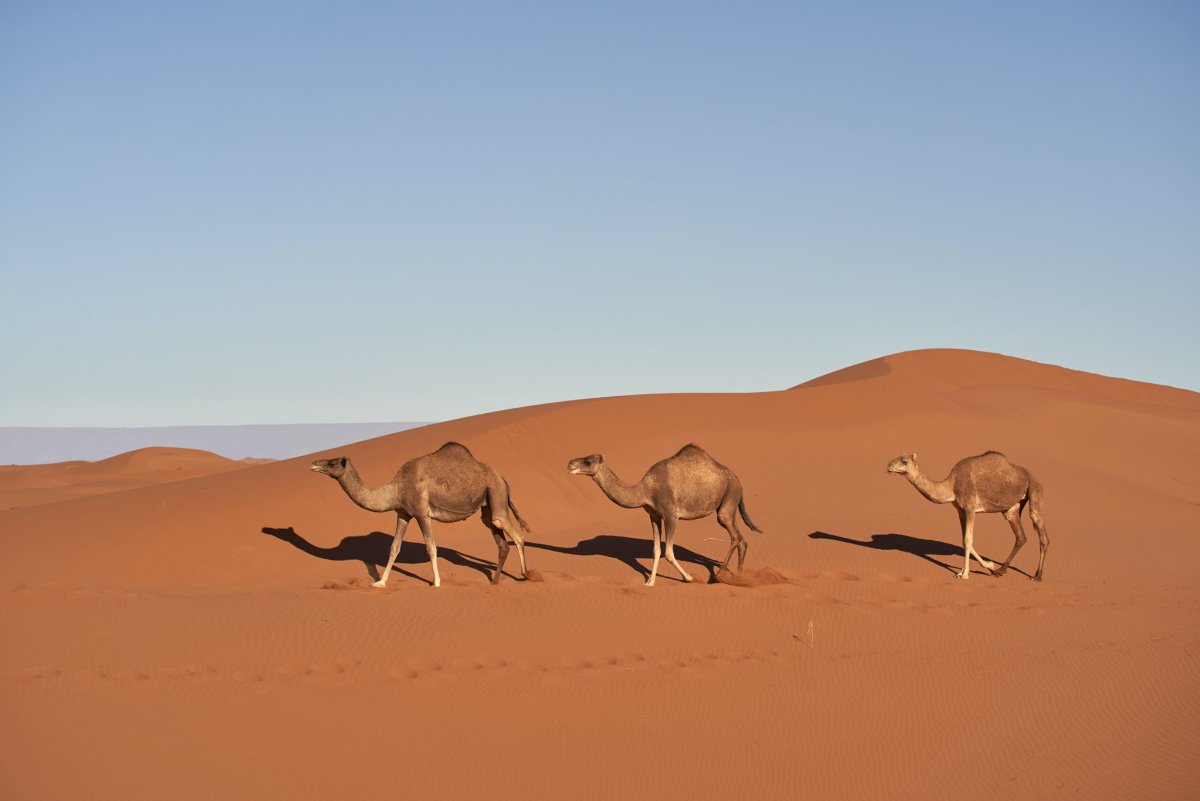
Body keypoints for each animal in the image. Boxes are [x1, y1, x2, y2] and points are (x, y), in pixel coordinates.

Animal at [310, 442, 532, 587]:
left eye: (332, 463)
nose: (314, 463)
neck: (396, 488)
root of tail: (503, 478)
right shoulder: (403, 514)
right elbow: (394, 548)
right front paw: (380, 582)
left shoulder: (421, 513)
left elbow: (431, 547)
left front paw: (437, 582)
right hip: (488, 504)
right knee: (500, 540)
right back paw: (494, 581)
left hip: (496, 493)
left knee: (515, 534)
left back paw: (526, 574)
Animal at [566, 444, 762, 586]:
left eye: (588, 461)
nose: (569, 464)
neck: (646, 489)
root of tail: (736, 478)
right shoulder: (654, 515)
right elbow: (656, 550)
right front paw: (650, 582)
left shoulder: (670, 515)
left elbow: (668, 552)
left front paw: (688, 578)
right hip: (730, 504)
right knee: (742, 540)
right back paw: (738, 577)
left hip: (729, 497)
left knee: (735, 536)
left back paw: (719, 575)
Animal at [886, 451, 1049, 581]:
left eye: (904, 460)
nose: (888, 465)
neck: (951, 485)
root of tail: (1033, 476)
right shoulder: (960, 510)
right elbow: (965, 541)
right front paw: (988, 566)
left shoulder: (970, 508)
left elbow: (968, 539)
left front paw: (964, 575)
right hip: (1012, 508)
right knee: (1021, 536)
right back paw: (1001, 569)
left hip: (1035, 490)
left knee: (1041, 533)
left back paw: (1037, 576)